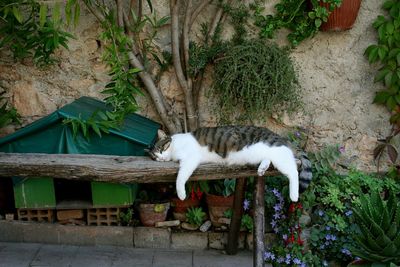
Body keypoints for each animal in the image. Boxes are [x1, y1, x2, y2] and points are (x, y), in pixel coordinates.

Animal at [147, 126, 312, 202]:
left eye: (162, 148)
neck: (175, 147)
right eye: (156, 157)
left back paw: (294, 195)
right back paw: (263, 167)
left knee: (293, 170)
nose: (161, 158)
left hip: (277, 153)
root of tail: (279, 136)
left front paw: (181, 194)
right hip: (262, 155)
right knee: (270, 159)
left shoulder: (190, 159)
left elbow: (180, 177)